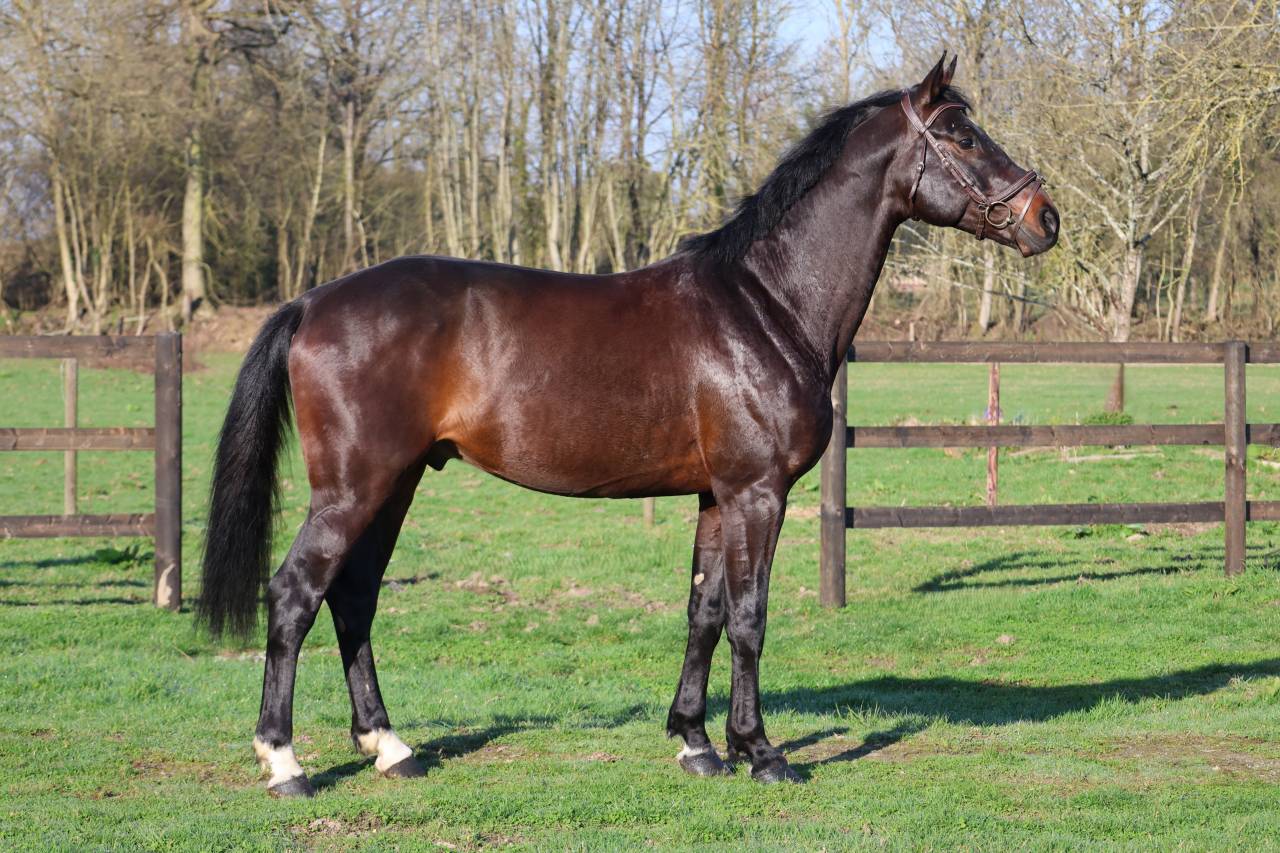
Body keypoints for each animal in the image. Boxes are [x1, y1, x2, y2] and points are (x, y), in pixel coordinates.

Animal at [199, 55, 1058, 797]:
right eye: (960, 134)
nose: (1044, 217)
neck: (766, 304)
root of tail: (313, 301)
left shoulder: (715, 496)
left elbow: (704, 612)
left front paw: (697, 742)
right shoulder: (757, 493)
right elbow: (749, 617)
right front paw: (762, 751)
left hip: (397, 482)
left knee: (354, 598)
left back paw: (389, 746)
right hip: (353, 488)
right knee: (296, 594)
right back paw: (285, 760)